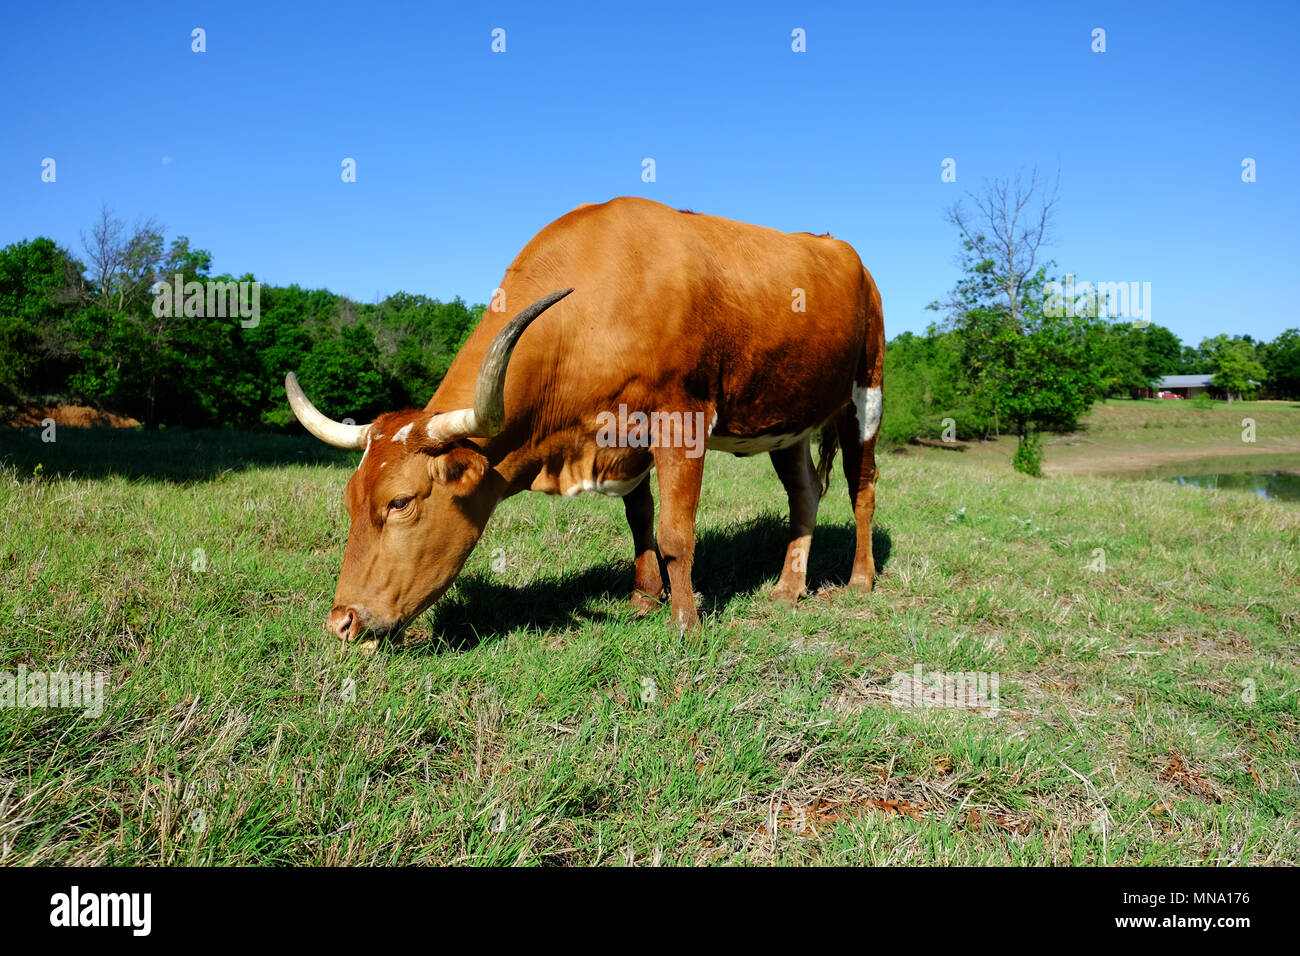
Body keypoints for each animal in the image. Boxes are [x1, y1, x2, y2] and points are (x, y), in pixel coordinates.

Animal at [285, 197, 884, 645]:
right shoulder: (625, 436)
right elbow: (640, 519)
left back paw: (860, 580)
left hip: (866, 395)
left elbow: (675, 532)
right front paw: (644, 598)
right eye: (350, 499)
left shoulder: (682, 418)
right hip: (789, 418)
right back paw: (788, 587)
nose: (342, 621)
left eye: (400, 502)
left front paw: (686, 625)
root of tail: (843, 250)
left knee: (862, 488)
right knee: (804, 492)